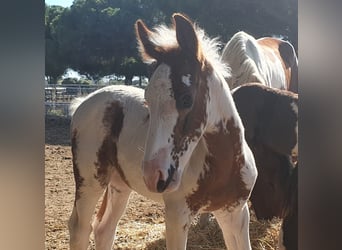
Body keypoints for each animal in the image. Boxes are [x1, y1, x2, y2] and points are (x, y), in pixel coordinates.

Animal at [68, 14, 256, 250]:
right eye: (147, 100)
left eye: (186, 98)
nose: (153, 176)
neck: (224, 166)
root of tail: (84, 101)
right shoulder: (176, 214)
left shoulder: (234, 212)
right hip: (90, 180)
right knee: (80, 228)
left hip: (120, 184)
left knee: (104, 229)